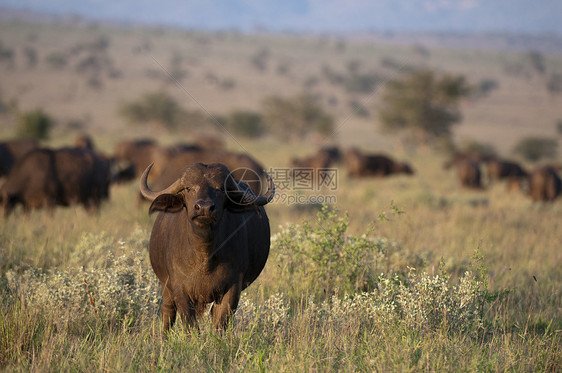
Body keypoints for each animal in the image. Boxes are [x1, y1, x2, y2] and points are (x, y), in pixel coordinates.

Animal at [141, 161, 274, 330]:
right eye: (189, 188)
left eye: (221, 189)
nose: (204, 208)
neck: (204, 257)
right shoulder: (179, 289)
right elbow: (190, 324)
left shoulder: (232, 289)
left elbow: (220, 322)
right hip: (165, 286)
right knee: (168, 312)